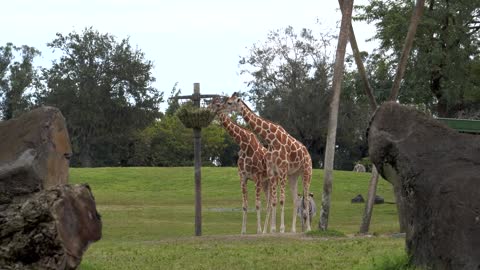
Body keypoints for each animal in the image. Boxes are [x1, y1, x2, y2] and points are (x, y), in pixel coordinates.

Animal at [209, 97, 272, 234]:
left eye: (217, 105)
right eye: (209, 104)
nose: (209, 111)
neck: (243, 144)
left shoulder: (257, 177)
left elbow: (258, 204)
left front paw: (258, 231)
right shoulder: (243, 177)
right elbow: (245, 205)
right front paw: (243, 231)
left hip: (272, 180)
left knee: (273, 202)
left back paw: (267, 230)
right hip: (266, 182)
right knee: (269, 203)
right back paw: (267, 230)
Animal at [219, 93, 314, 232]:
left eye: (230, 103)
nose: (220, 109)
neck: (271, 139)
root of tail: (307, 152)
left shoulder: (281, 171)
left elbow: (281, 200)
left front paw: (281, 229)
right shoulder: (271, 172)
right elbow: (273, 202)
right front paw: (273, 229)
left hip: (306, 171)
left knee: (306, 198)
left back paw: (307, 229)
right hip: (293, 175)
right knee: (296, 199)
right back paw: (292, 230)